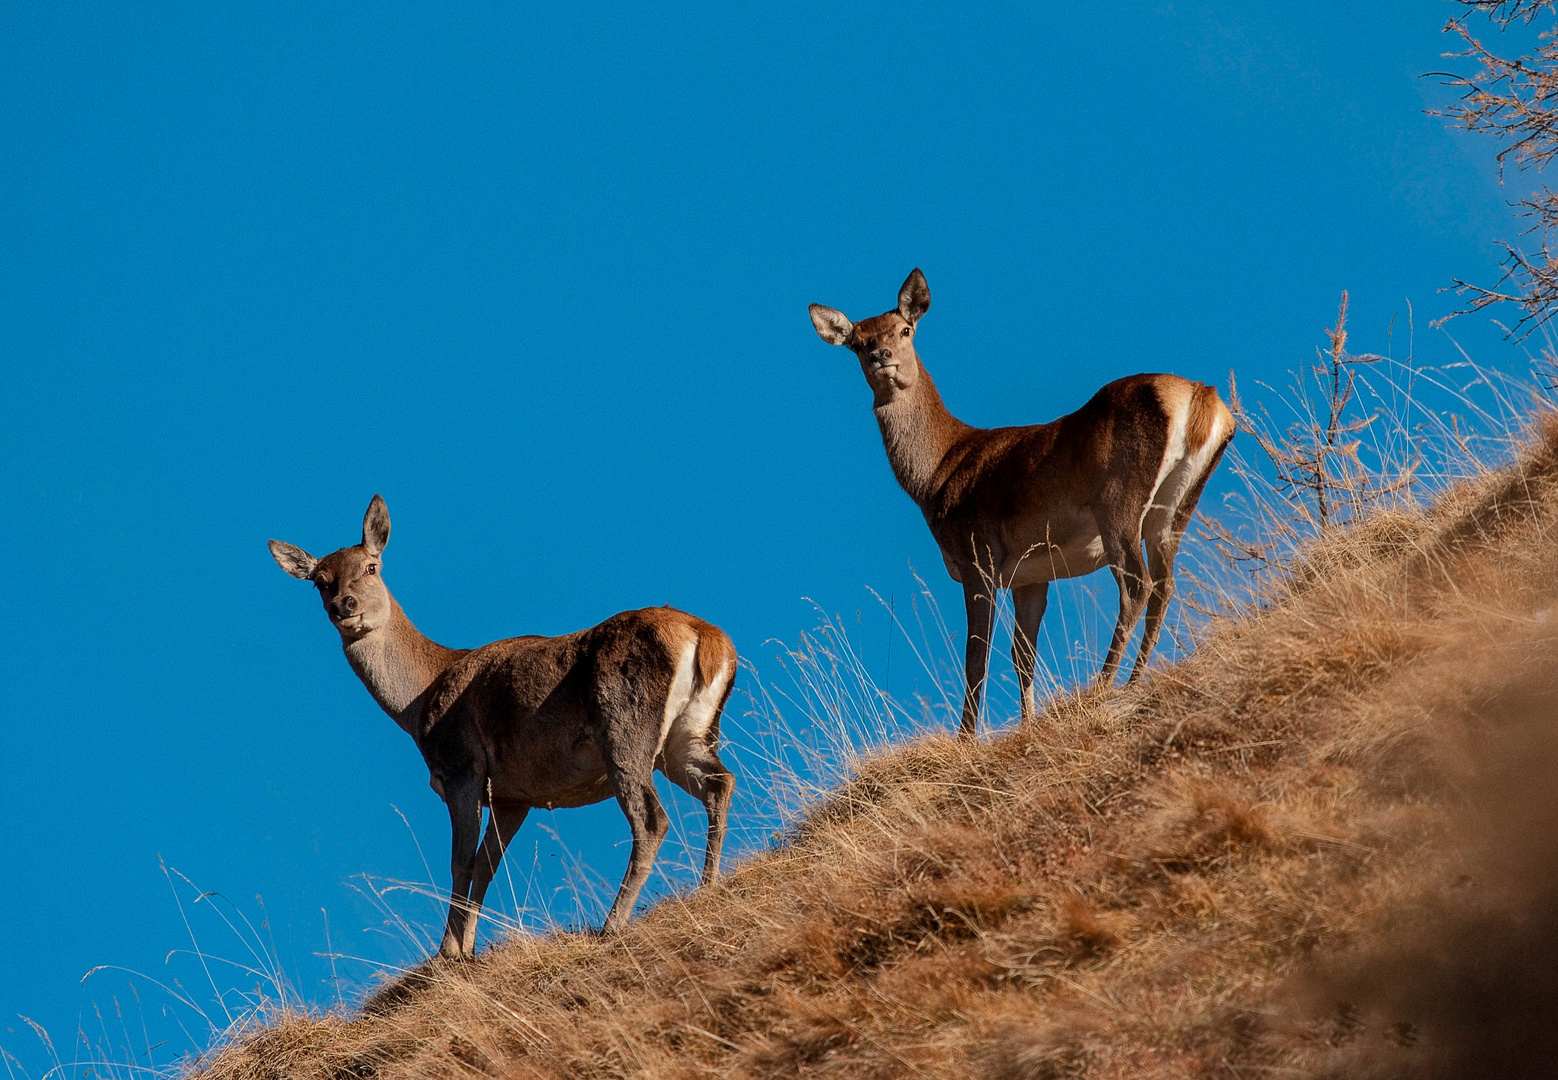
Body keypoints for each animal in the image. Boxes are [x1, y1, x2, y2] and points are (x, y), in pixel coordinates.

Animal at [267, 495, 735, 960]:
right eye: (319, 582)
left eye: (370, 567)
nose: (343, 605)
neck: (420, 701)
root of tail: (707, 639)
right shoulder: (514, 795)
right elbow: (487, 863)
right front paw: (467, 948)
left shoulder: (461, 768)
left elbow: (461, 860)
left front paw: (447, 954)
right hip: (687, 735)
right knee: (720, 781)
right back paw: (708, 884)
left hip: (624, 730)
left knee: (652, 819)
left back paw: (612, 925)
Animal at [810, 268, 1233, 732]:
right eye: (857, 342)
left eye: (905, 329)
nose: (881, 355)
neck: (936, 474)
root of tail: (1202, 398)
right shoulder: (1030, 574)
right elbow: (1023, 654)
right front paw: (1026, 722)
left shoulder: (978, 554)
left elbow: (976, 655)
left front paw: (967, 736)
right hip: (1176, 506)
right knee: (1164, 584)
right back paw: (1133, 681)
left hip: (1117, 500)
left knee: (1137, 585)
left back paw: (1102, 686)